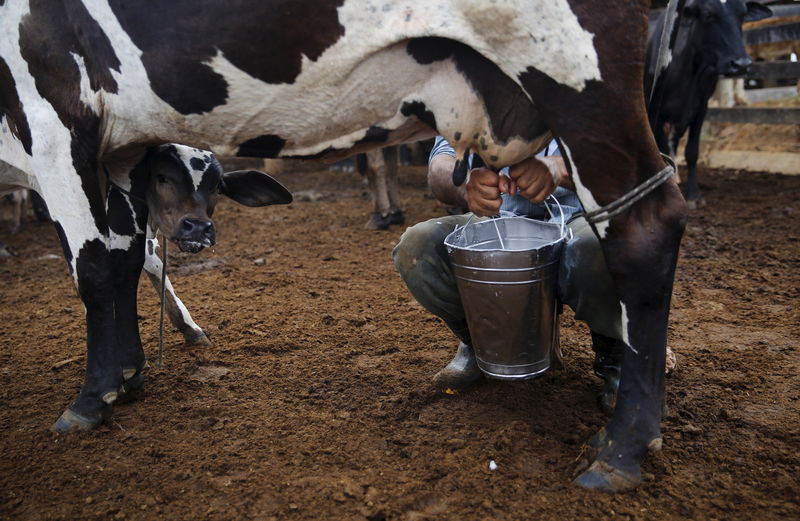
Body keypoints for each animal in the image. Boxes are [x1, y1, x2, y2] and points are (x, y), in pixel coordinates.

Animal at [1, 0, 688, 492]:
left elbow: (95, 268)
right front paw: (129, 374)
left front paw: (91, 399)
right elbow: (123, 259)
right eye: (165, 175)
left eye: (215, 182)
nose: (198, 231)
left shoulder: (51, 114)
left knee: (645, 228)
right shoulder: (110, 151)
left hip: (579, 77)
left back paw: (625, 445)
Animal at [648, 0, 772, 207]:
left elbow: (692, 152)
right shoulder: (657, 111)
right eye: (708, 14)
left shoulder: (700, 108)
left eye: (742, 15)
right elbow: (661, 149)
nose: (741, 64)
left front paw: (693, 195)